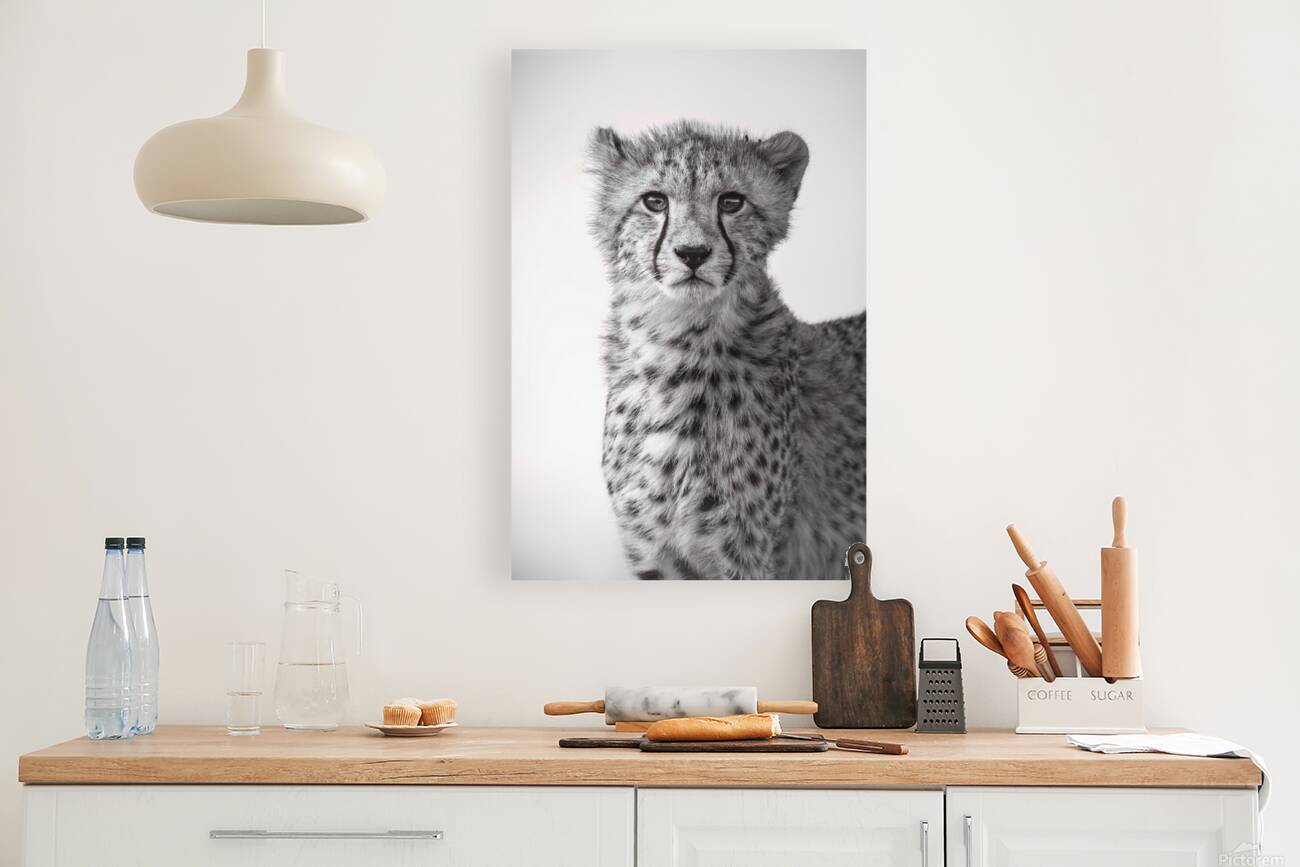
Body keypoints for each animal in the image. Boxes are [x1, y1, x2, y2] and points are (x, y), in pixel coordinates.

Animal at [589, 120, 865, 580]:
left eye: (732, 202)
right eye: (654, 201)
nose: (693, 253)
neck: (676, 347)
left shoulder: (749, 557)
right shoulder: (655, 555)